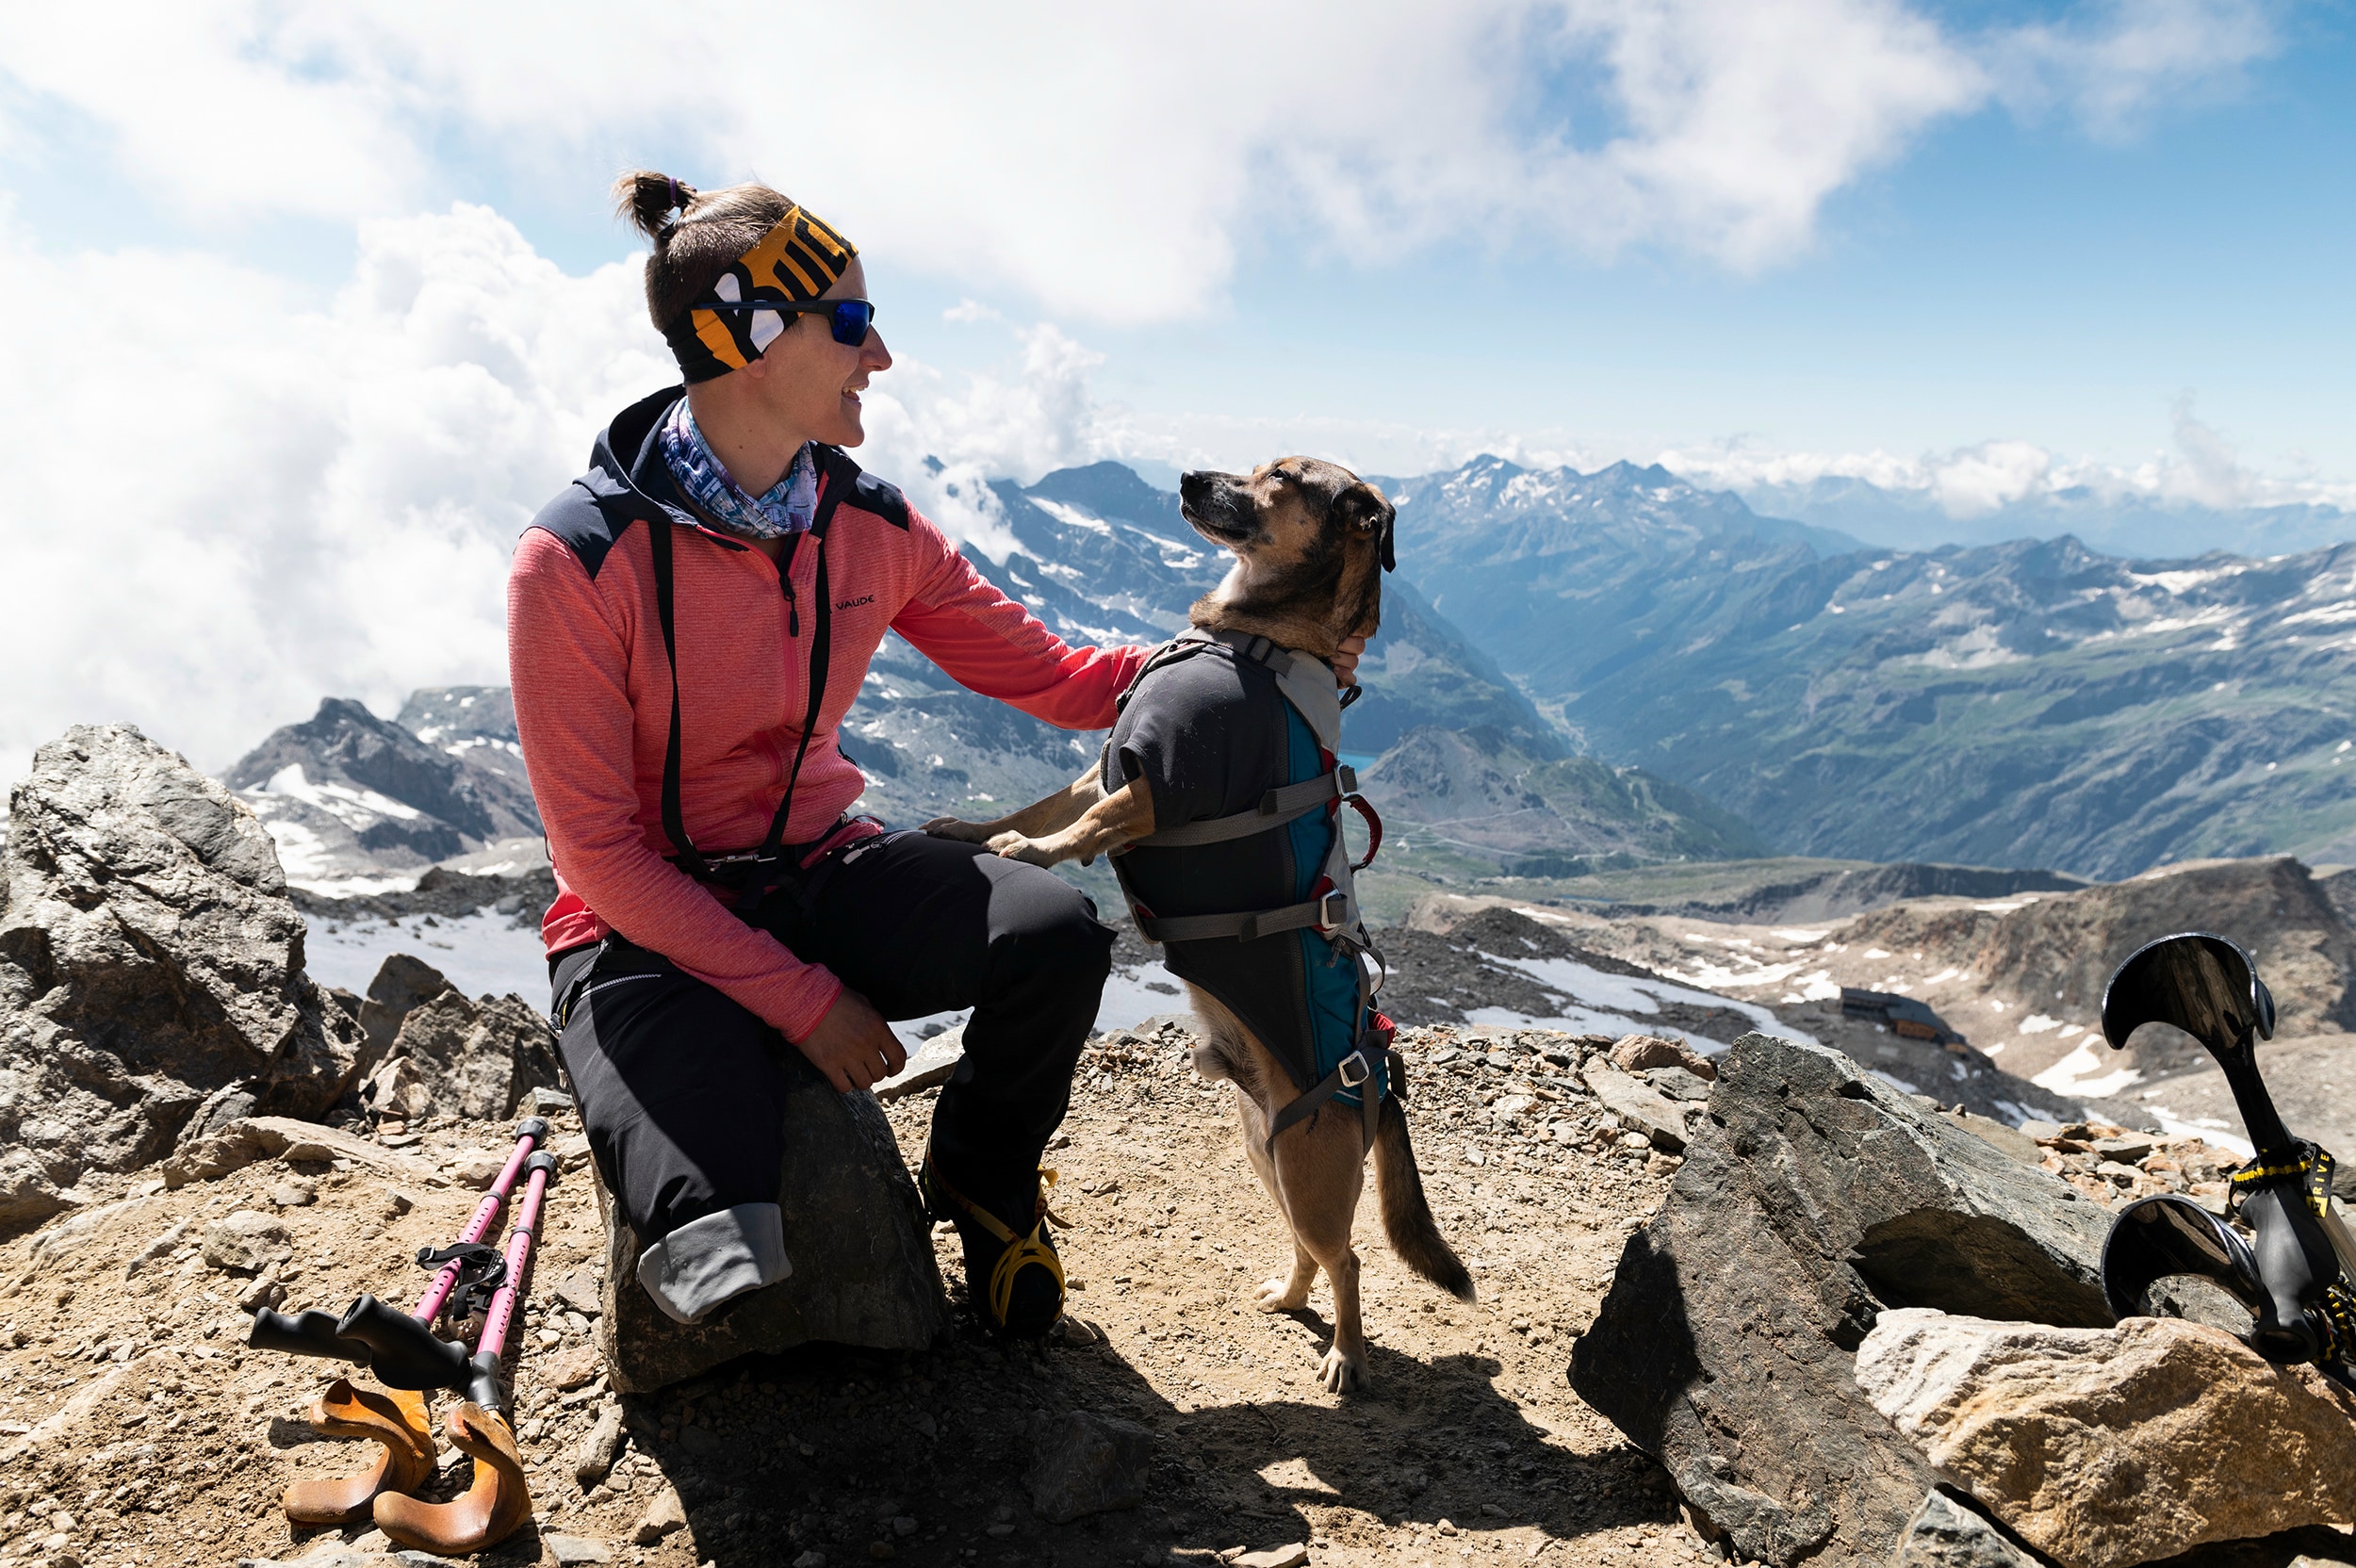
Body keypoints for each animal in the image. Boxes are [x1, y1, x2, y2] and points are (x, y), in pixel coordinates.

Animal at [924, 454, 1461, 1394]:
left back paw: (1347, 1356)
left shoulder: (1160, 784)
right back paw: (1289, 1299)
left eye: (1280, 478)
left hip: (1312, 1176)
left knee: (1350, 1259)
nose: (1184, 475)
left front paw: (1028, 854)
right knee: (1311, 1251)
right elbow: (1042, 806)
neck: (1255, 637)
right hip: (1266, 1156)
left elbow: (1078, 829)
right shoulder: (1110, 760)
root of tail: (1380, 1077)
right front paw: (973, 833)